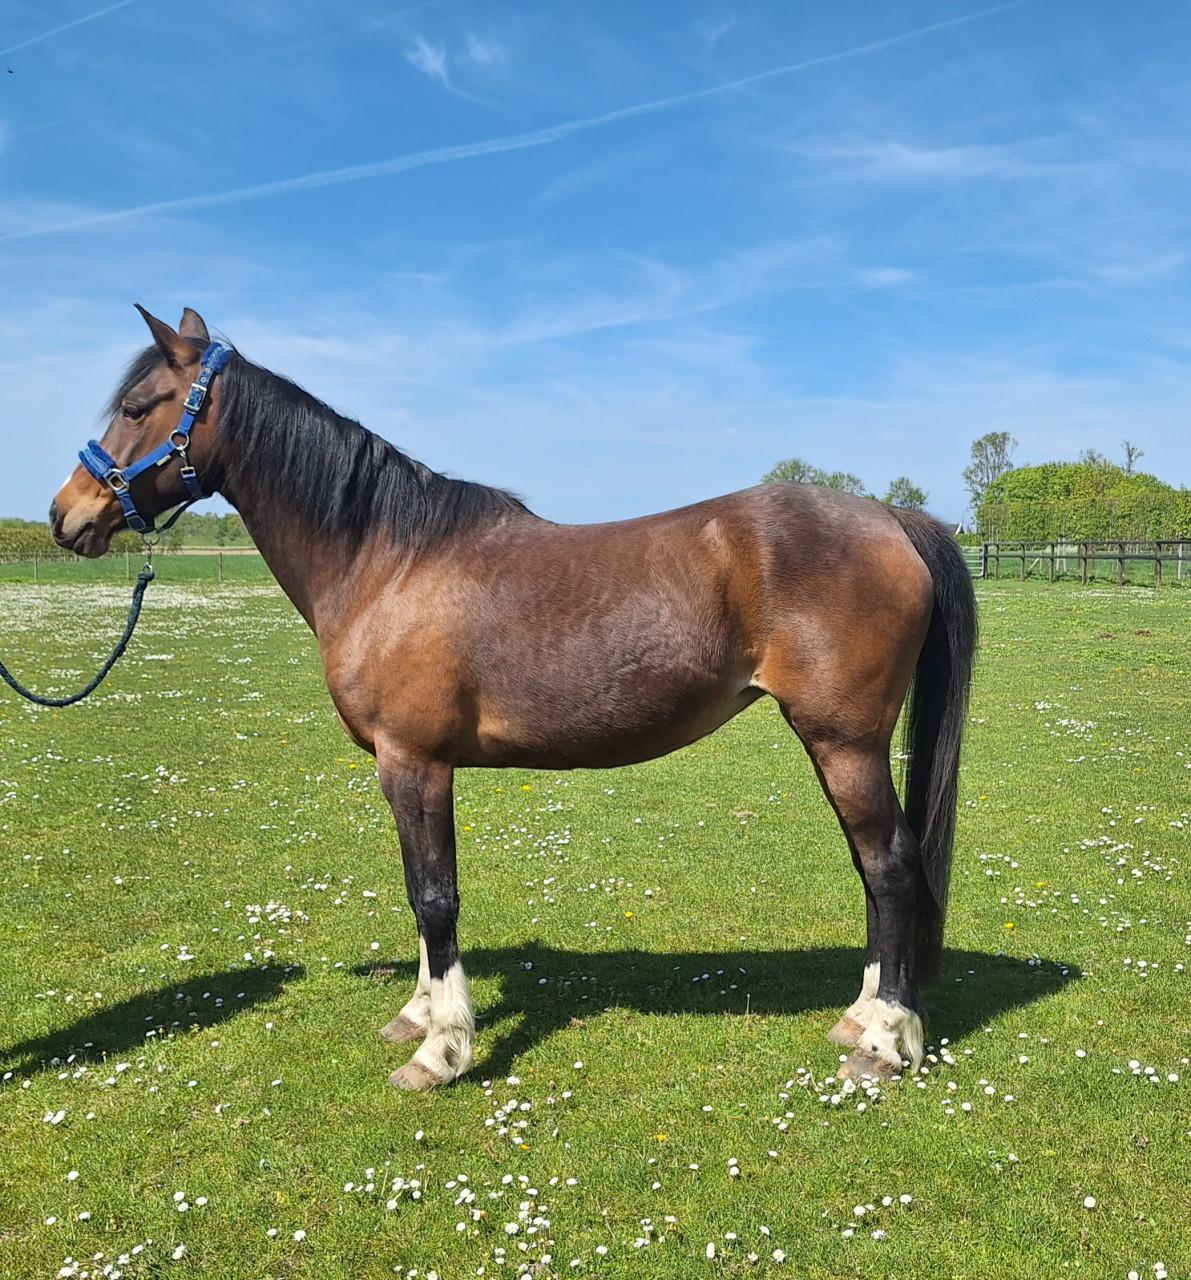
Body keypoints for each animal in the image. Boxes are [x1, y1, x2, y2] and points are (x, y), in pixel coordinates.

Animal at [49, 306, 977, 1090]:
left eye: (137, 405)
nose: (66, 516)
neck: (388, 560)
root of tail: (891, 518)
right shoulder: (406, 768)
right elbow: (417, 891)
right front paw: (418, 1013)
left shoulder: (415, 762)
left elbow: (435, 896)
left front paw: (441, 1050)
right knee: (871, 869)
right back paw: (859, 1016)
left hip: (842, 741)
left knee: (890, 868)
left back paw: (884, 1042)